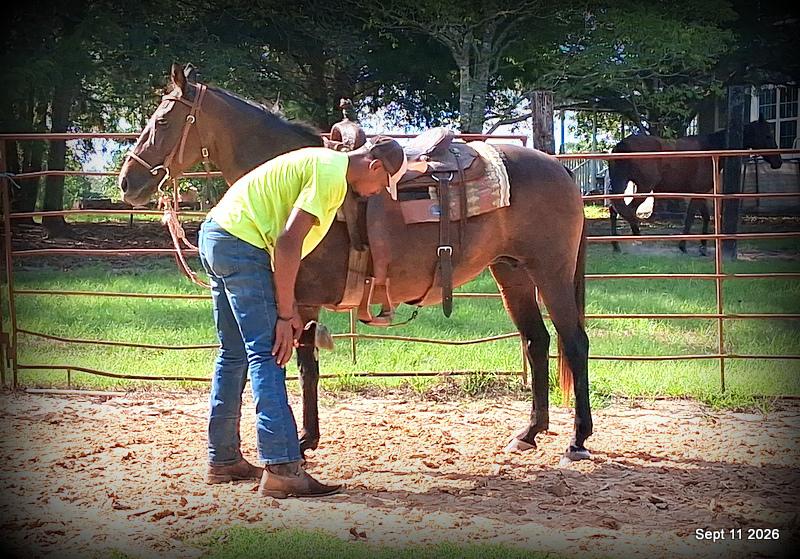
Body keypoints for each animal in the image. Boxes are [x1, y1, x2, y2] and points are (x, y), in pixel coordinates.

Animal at [118, 63, 592, 461]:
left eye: (162, 122)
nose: (127, 181)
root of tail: (561, 171)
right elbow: (306, 367)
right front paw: (307, 438)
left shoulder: (302, 299)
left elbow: (305, 367)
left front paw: (304, 440)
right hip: (511, 272)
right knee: (537, 341)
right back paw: (529, 433)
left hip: (550, 271)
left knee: (573, 342)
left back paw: (577, 440)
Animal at [607, 117, 783, 255]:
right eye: (767, 135)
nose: (778, 162)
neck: (711, 150)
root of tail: (621, 145)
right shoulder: (698, 193)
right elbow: (691, 217)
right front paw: (683, 245)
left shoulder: (701, 193)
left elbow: (705, 217)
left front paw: (702, 247)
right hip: (643, 189)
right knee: (627, 210)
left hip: (623, 185)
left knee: (615, 209)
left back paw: (616, 245)